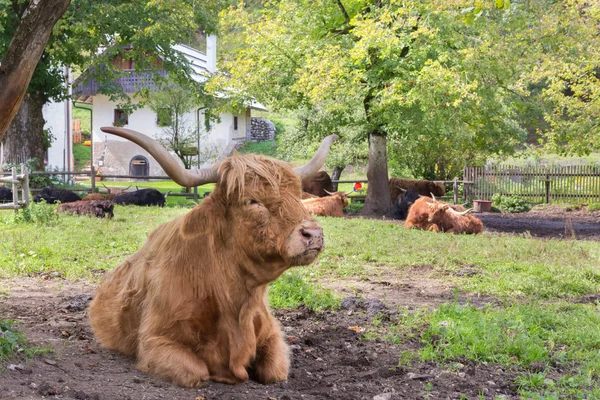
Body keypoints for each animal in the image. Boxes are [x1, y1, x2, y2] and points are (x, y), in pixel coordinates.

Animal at [87, 127, 338, 388]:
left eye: (297, 195)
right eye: (252, 201)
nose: (314, 233)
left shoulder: (272, 334)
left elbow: (274, 372)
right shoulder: (155, 341)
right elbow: (197, 372)